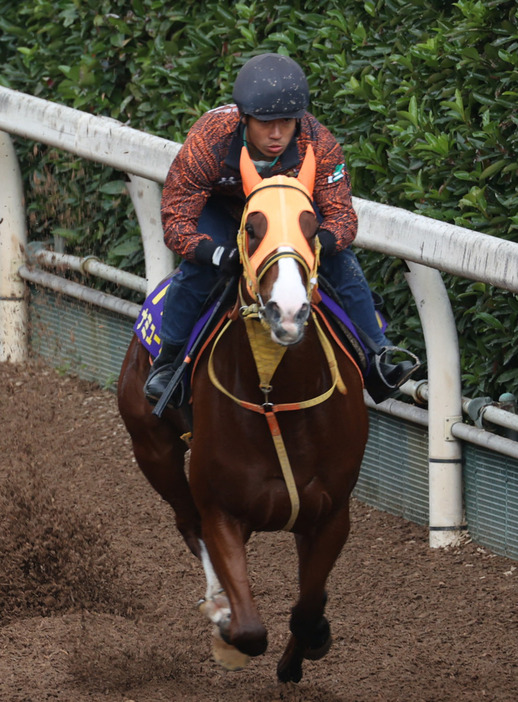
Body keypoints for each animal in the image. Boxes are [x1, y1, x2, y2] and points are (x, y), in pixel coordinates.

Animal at [118, 143, 370, 680]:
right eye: (252, 227)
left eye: (312, 226)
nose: (288, 311)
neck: (276, 398)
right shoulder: (222, 510)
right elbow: (252, 629)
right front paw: (227, 627)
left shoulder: (331, 513)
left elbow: (307, 606)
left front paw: (309, 645)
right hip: (153, 450)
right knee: (186, 521)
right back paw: (218, 605)